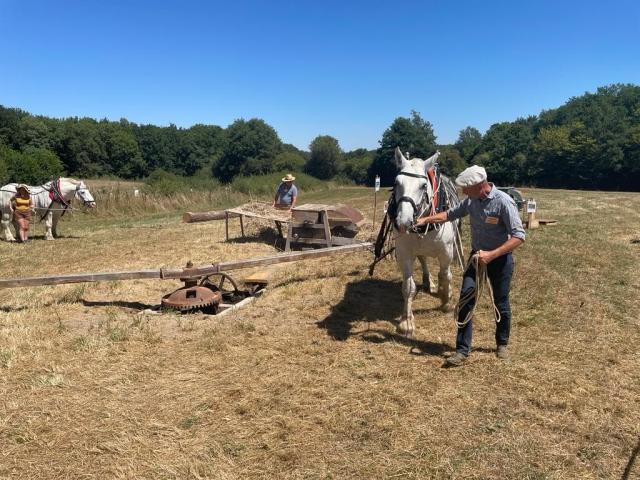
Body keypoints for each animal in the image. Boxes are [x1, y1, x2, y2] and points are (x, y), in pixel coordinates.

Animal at [376, 146, 460, 338]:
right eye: (396, 182)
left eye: (423, 185)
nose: (403, 221)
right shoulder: (405, 253)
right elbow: (408, 286)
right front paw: (406, 322)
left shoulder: (446, 252)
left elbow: (446, 275)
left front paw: (446, 301)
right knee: (423, 260)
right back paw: (429, 281)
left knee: (444, 272)